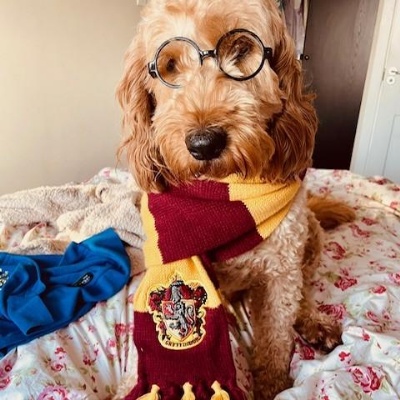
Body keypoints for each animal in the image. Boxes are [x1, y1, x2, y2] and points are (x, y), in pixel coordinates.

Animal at [115, 0, 355, 398]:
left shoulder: (281, 272)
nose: (203, 143)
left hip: (310, 238)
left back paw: (311, 320)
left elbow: (277, 335)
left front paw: (272, 386)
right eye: (169, 65)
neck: (224, 191)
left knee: (303, 292)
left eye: (241, 48)